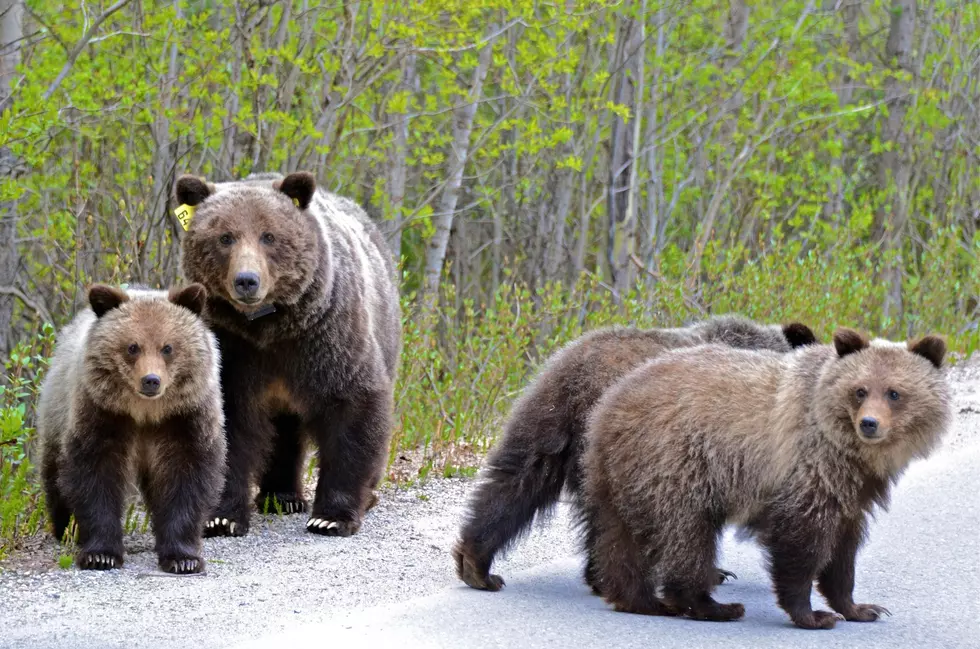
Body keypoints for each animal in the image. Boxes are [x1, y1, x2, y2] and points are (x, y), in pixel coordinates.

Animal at [38, 283, 225, 573]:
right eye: (132, 347)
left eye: (167, 347)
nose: (151, 380)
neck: (145, 412)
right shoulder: (103, 413)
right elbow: (95, 474)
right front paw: (100, 554)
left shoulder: (183, 418)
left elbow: (185, 476)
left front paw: (183, 558)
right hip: (57, 411)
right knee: (55, 474)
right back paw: (65, 527)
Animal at [175, 170, 401, 538]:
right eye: (225, 237)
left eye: (269, 236)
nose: (246, 280)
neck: (270, 328)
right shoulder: (233, 348)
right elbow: (228, 422)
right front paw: (221, 517)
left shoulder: (327, 336)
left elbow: (353, 406)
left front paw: (331, 517)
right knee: (283, 431)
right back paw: (280, 496)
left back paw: (366, 496)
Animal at [581, 329, 950, 629]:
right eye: (860, 390)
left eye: (894, 393)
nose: (869, 424)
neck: (851, 451)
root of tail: (609, 404)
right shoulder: (808, 465)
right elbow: (802, 539)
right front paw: (814, 615)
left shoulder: (853, 487)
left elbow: (844, 549)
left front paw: (861, 608)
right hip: (676, 462)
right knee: (687, 534)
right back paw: (713, 605)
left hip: (619, 475)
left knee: (618, 538)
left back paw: (640, 600)